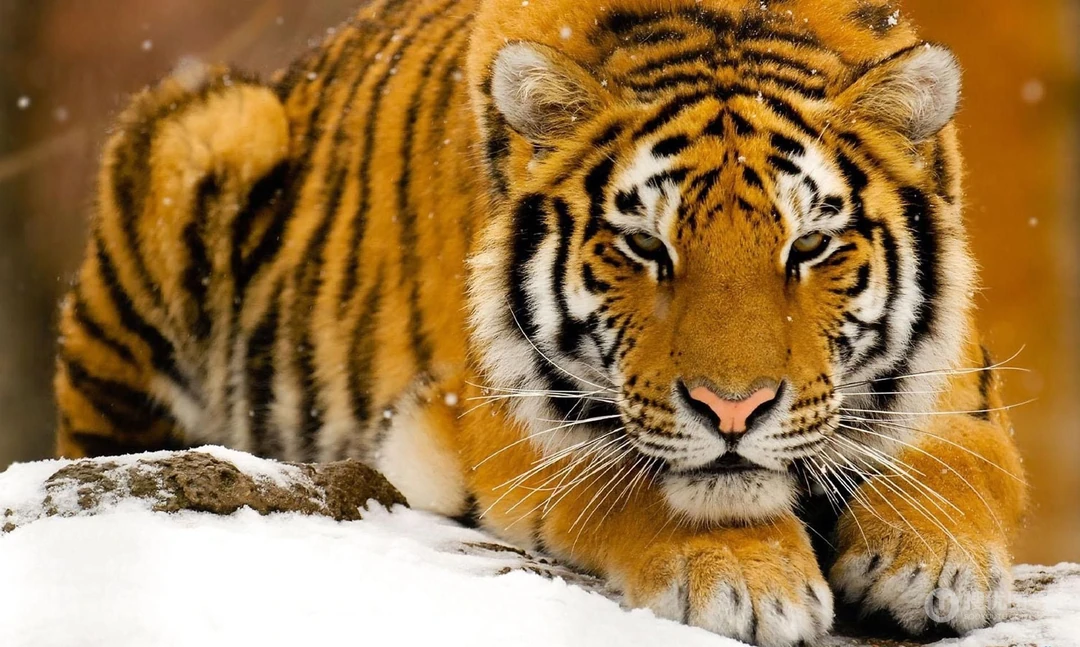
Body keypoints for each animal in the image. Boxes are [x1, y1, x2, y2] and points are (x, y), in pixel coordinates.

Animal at [53, 0, 1029, 644]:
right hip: (205, 130)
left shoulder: (957, 381)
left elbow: (959, 463)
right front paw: (748, 579)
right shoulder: (499, 413)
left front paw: (933, 565)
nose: (734, 410)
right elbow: (633, 480)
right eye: (645, 246)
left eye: (810, 246)